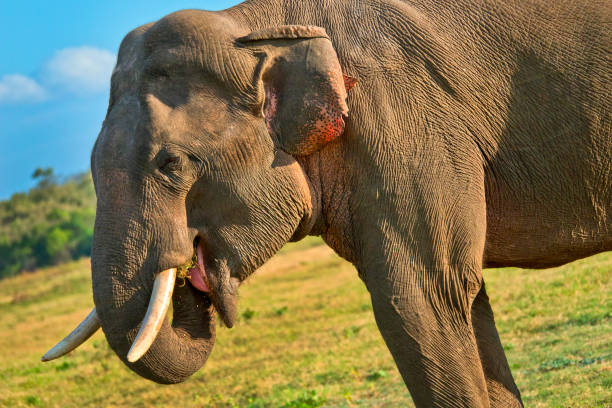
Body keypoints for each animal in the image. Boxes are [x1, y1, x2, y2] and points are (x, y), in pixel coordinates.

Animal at [43, 0, 612, 406]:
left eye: (172, 165)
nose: (190, 273)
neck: (256, 26)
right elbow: (463, 298)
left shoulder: (404, 125)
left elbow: (421, 297)